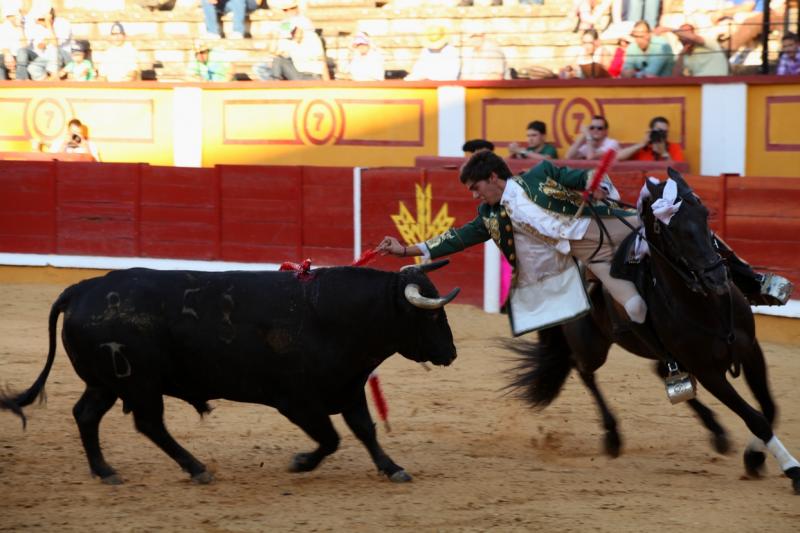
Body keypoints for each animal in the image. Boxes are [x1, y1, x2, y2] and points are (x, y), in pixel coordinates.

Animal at [3, 260, 460, 484]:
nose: (452, 353)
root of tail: (80, 289)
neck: (331, 314)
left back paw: (105, 471)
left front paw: (393, 468)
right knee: (149, 423)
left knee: (86, 415)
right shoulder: (296, 400)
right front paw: (300, 463)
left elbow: (365, 430)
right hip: (139, 384)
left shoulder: (347, 387)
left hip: (107, 383)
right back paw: (196, 468)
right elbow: (330, 438)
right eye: (431, 315)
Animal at [512, 168, 800, 492]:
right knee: (584, 371)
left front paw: (755, 456)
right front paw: (792, 469)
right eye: (669, 229)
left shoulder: (750, 350)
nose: (716, 278)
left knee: (660, 371)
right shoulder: (708, 372)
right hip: (591, 347)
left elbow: (769, 407)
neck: (708, 306)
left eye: (705, 215)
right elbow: (755, 417)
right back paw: (613, 436)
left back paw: (715, 431)